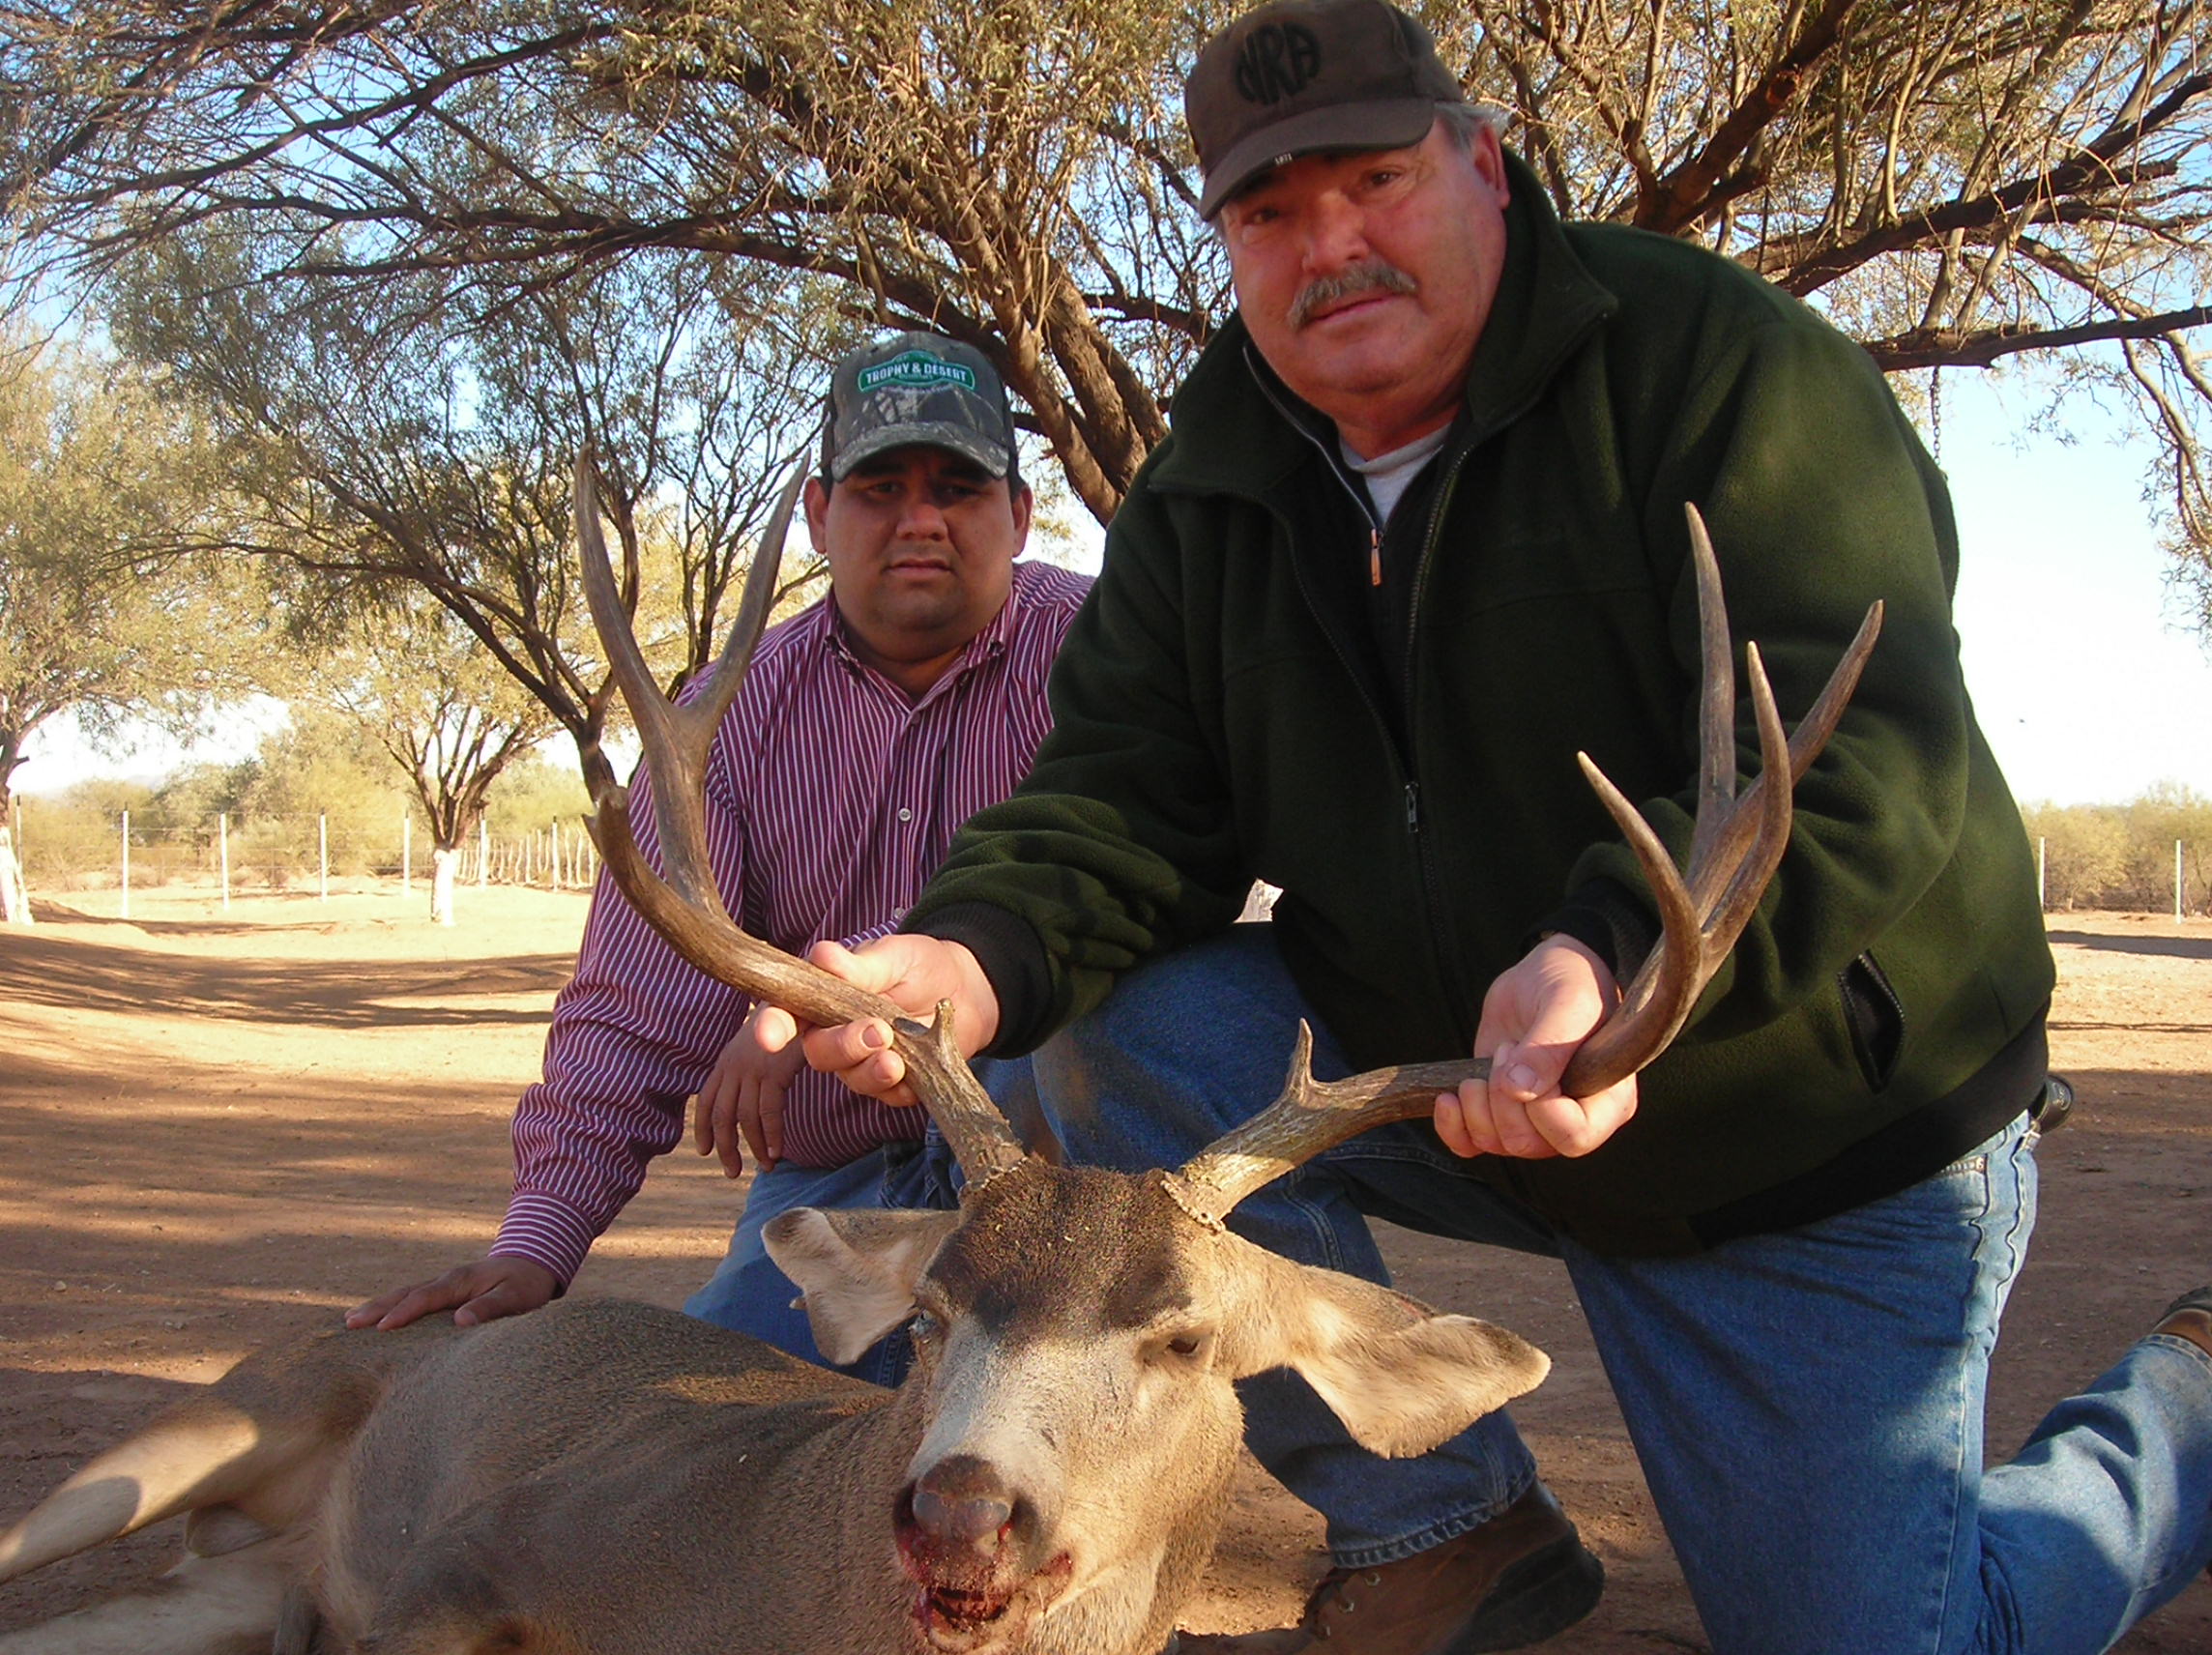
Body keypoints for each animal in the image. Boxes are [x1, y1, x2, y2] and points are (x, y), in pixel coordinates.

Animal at [0, 464, 1884, 1654]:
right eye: (927, 1316)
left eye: (1183, 1337)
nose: (963, 1513)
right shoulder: (462, 1574)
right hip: (205, 1419)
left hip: (212, 1566)